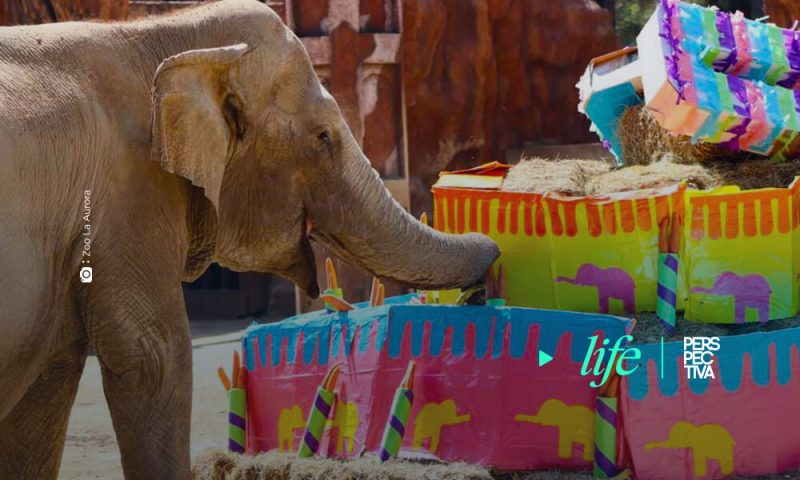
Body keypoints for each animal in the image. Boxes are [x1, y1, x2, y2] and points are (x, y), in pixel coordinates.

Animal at [0, 1, 499, 478]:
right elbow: (154, 357)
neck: (158, 37)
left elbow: (48, 388)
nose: (480, 290)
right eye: (322, 138)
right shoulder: (127, 197)